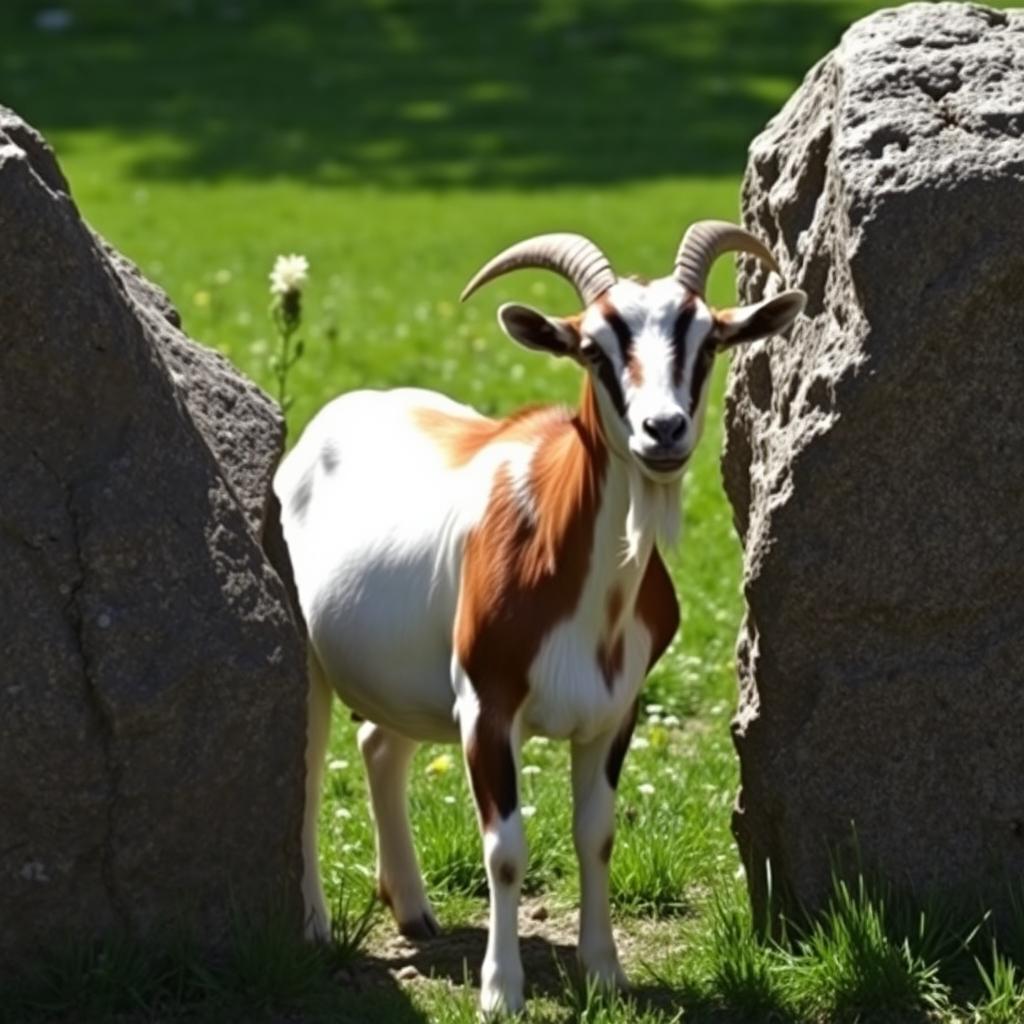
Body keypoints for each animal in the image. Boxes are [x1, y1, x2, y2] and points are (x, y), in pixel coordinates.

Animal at [274, 221, 805, 1014]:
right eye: (593, 348)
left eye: (707, 341)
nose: (664, 430)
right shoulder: (486, 707)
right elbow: (506, 850)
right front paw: (501, 992)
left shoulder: (616, 711)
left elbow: (597, 834)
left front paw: (606, 972)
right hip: (316, 662)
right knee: (308, 775)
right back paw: (311, 924)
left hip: (408, 678)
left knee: (379, 746)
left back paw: (414, 910)